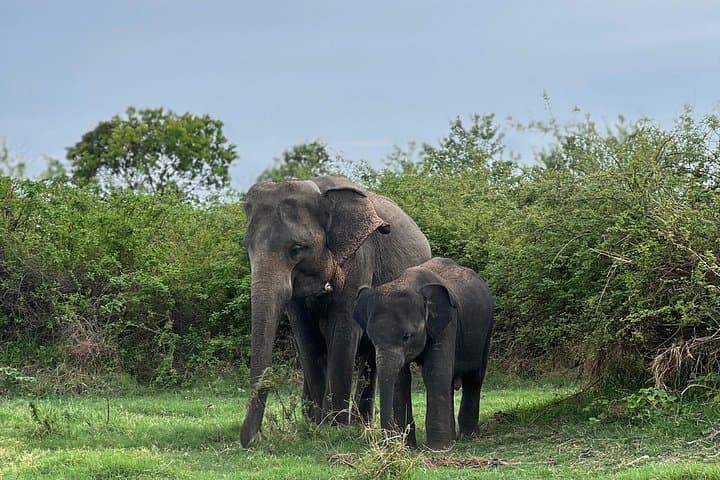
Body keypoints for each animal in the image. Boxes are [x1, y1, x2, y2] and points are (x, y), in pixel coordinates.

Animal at [240, 176, 431, 447]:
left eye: (297, 249)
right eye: (246, 246)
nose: (251, 440)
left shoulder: (360, 259)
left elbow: (343, 331)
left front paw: (334, 427)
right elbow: (307, 339)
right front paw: (316, 424)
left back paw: (360, 424)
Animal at [352, 257, 494, 450]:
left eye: (407, 336)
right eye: (372, 339)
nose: (388, 444)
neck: (407, 283)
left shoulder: (447, 323)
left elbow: (434, 373)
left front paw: (437, 449)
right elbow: (401, 380)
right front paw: (408, 447)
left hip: (486, 330)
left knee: (474, 378)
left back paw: (468, 436)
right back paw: (453, 439)